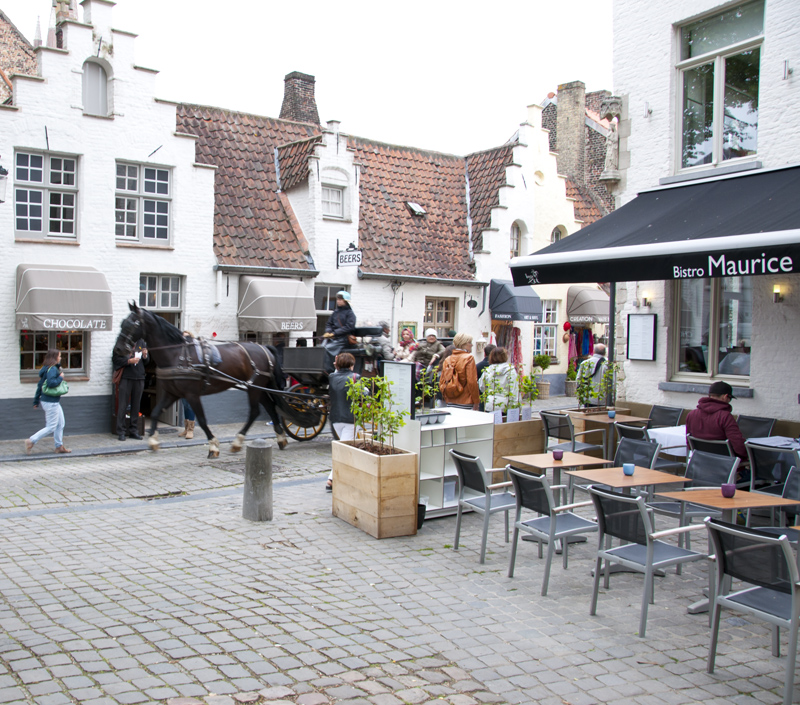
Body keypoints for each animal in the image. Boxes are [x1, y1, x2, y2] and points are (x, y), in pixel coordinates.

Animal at [112, 302, 288, 456]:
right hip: (258, 388)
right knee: (270, 407)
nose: (118, 349)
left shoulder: (192, 395)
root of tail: (264, 347)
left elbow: (202, 420)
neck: (177, 354)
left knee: (255, 411)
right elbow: (155, 412)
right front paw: (153, 441)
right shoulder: (172, 393)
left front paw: (213, 446)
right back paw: (280, 438)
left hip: (254, 388)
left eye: (133, 324)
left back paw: (238, 441)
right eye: (122, 323)